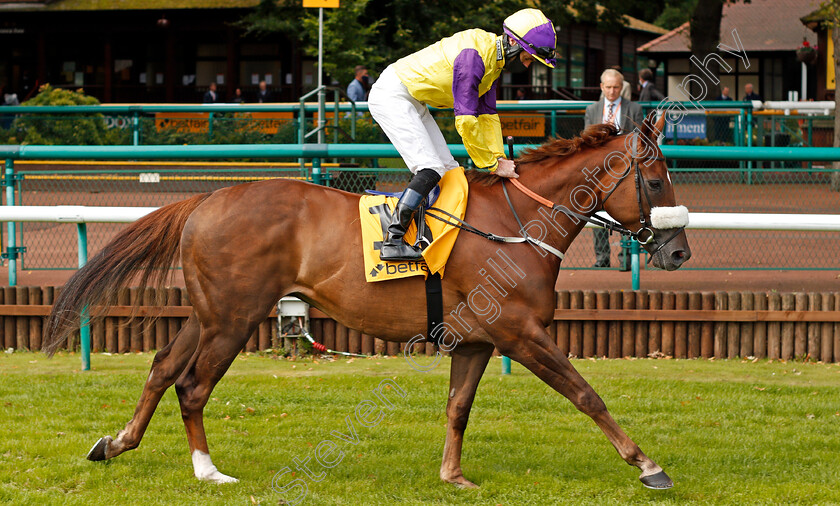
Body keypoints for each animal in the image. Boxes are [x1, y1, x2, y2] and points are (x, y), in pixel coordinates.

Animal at [42, 113, 688, 490]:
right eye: (657, 181)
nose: (679, 251)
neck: (516, 225)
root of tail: (206, 199)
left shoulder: (477, 340)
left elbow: (458, 409)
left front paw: (453, 476)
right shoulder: (521, 333)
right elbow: (586, 394)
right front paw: (649, 466)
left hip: (208, 316)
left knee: (160, 369)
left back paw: (115, 443)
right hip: (232, 319)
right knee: (192, 386)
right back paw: (208, 471)